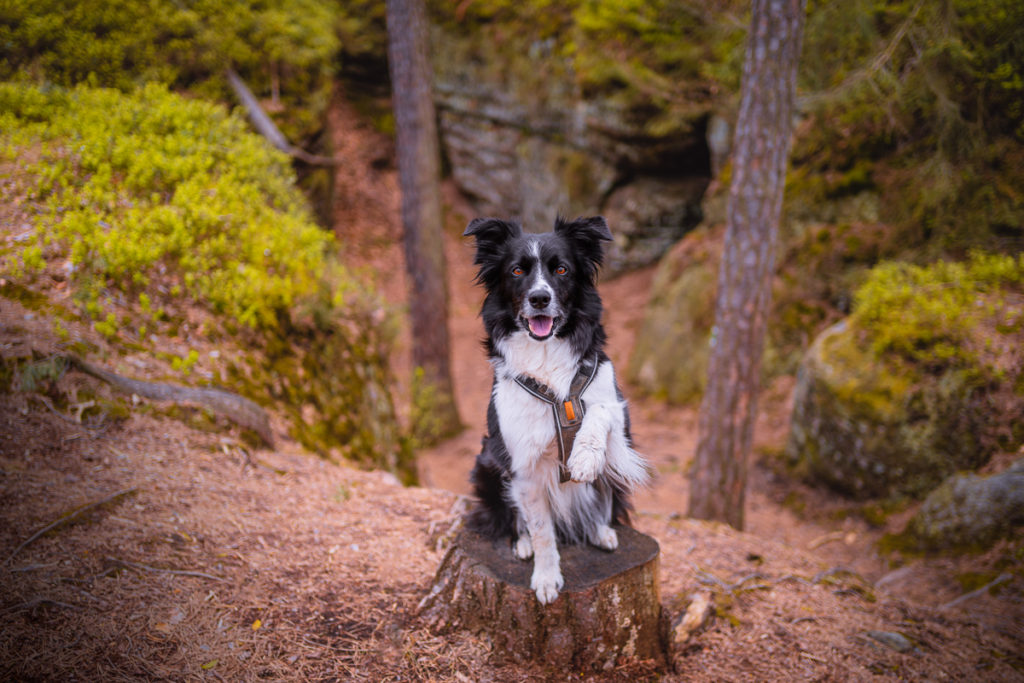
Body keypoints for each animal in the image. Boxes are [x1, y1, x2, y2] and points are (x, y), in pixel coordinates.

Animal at [464, 214, 647, 602]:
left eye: (562, 269)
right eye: (517, 271)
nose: (539, 298)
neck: (546, 354)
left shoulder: (619, 414)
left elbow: (599, 411)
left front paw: (584, 457)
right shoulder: (523, 465)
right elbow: (542, 531)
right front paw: (547, 578)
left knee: (602, 498)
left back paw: (600, 530)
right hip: (487, 461)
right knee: (516, 518)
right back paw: (521, 543)